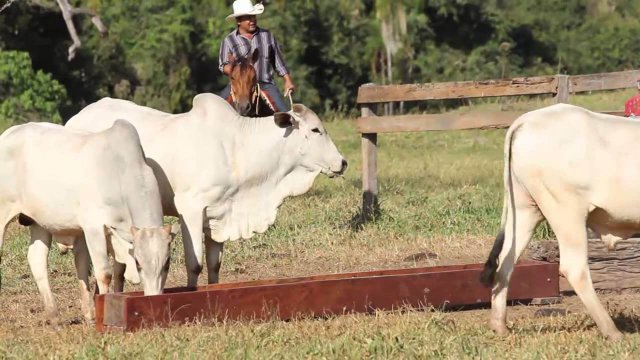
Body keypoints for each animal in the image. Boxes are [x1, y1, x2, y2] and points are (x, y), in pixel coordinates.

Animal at [0, 121, 172, 324]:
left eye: (167, 263)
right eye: (138, 263)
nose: (154, 298)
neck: (119, 171)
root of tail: (9, 133)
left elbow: (118, 271)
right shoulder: (94, 228)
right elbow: (104, 273)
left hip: (40, 222)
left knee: (37, 258)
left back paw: (55, 317)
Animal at [66, 93, 344, 286]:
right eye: (315, 130)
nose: (342, 162)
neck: (237, 148)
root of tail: (74, 119)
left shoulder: (218, 215)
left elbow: (214, 265)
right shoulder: (189, 209)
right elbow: (195, 265)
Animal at [480, 102, 640, 338]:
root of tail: (528, 119)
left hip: (525, 208)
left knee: (505, 262)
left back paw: (499, 326)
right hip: (566, 212)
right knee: (575, 268)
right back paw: (612, 332)